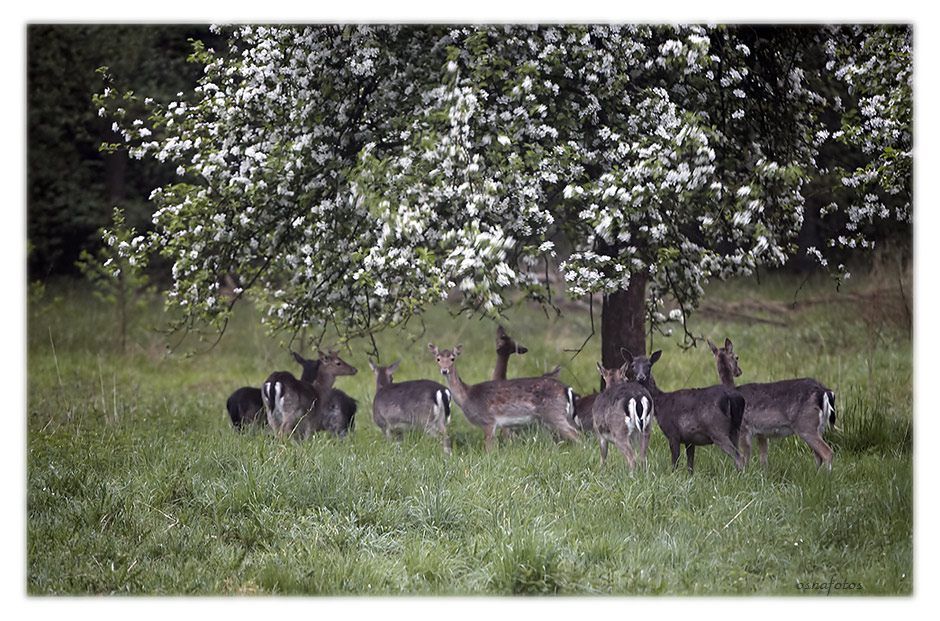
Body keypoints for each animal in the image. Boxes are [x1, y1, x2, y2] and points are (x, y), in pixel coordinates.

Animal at [428, 342, 580, 448]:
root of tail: (568, 389)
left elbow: (490, 450)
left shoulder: (488, 421)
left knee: (576, 434)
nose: (444, 370)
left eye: (452, 358)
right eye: (438, 358)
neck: (467, 397)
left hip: (554, 414)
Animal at [704, 340, 836, 470]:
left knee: (827, 452)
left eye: (737, 357)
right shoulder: (762, 433)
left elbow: (746, 457)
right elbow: (763, 459)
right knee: (818, 456)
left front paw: (746, 473)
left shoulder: (744, 428)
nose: (739, 371)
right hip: (819, 427)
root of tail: (825, 392)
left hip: (806, 425)